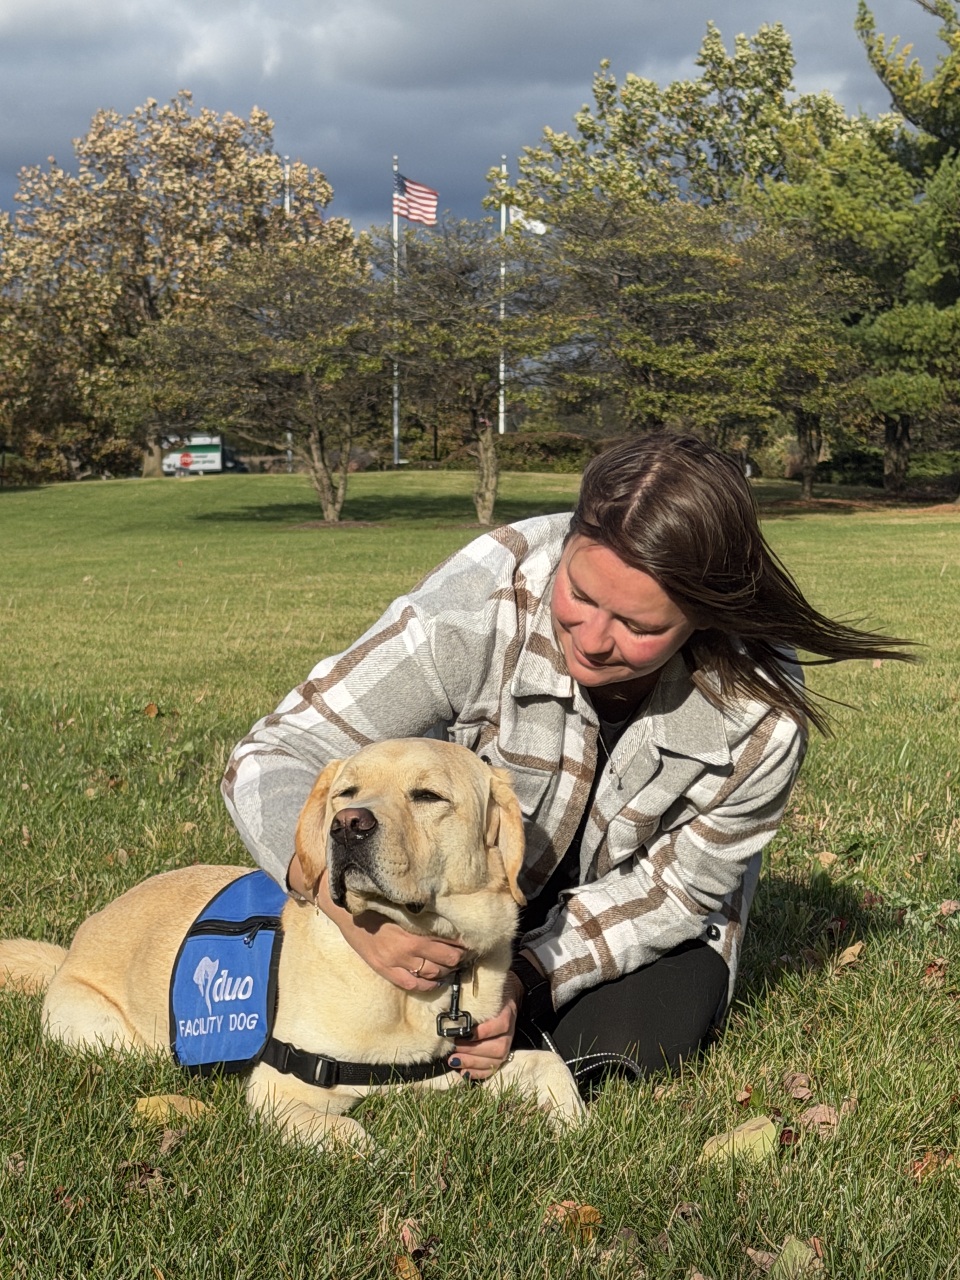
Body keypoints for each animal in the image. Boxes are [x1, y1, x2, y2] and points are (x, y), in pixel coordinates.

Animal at [0, 738, 584, 1149]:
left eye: (428, 796)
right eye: (347, 793)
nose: (348, 825)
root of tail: (73, 946)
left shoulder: (471, 1065)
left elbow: (549, 1066)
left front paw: (576, 1124)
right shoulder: (280, 1089)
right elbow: (354, 1137)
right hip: (113, 1039)